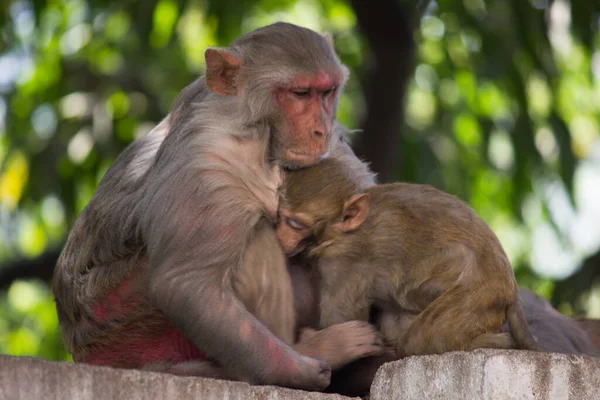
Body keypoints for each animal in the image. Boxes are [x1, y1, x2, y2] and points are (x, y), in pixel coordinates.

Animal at [52, 22, 380, 390]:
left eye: (327, 92)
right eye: (299, 94)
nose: (320, 130)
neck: (255, 133)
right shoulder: (207, 159)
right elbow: (187, 285)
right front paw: (301, 371)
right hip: (121, 313)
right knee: (253, 235)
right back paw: (311, 349)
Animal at [278, 158, 540, 358]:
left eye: (296, 224)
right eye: (280, 214)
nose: (279, 234)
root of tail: (511, 288)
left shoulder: (343, 260)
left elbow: (340, 319)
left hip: (477, 294)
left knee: (421, 337)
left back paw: (503, 341)